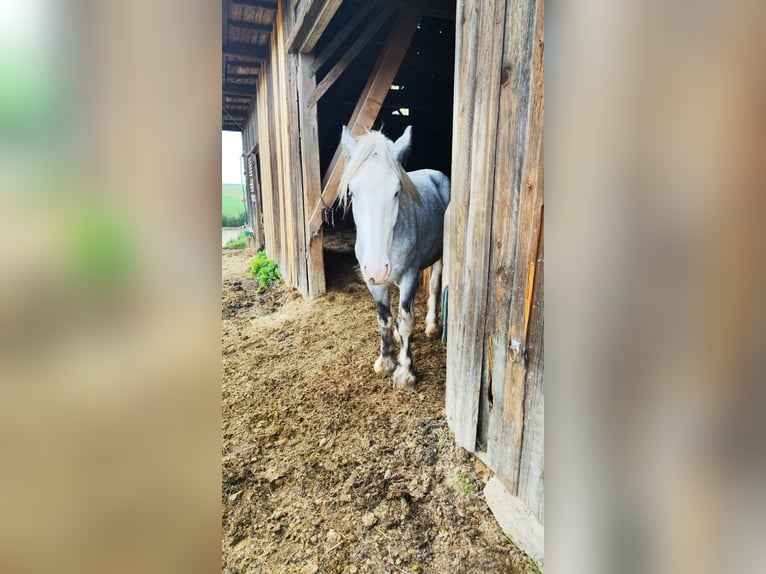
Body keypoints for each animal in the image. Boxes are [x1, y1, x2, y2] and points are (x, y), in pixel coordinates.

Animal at [339, 125, 450, 390]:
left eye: (396, 192)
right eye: (352, 192)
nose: (377, 269)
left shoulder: (409, 277)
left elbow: (405, 322)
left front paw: (405, 373)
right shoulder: (375, 285)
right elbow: (385, 321)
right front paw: (386, 361)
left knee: (434, 286)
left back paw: (432, 326)